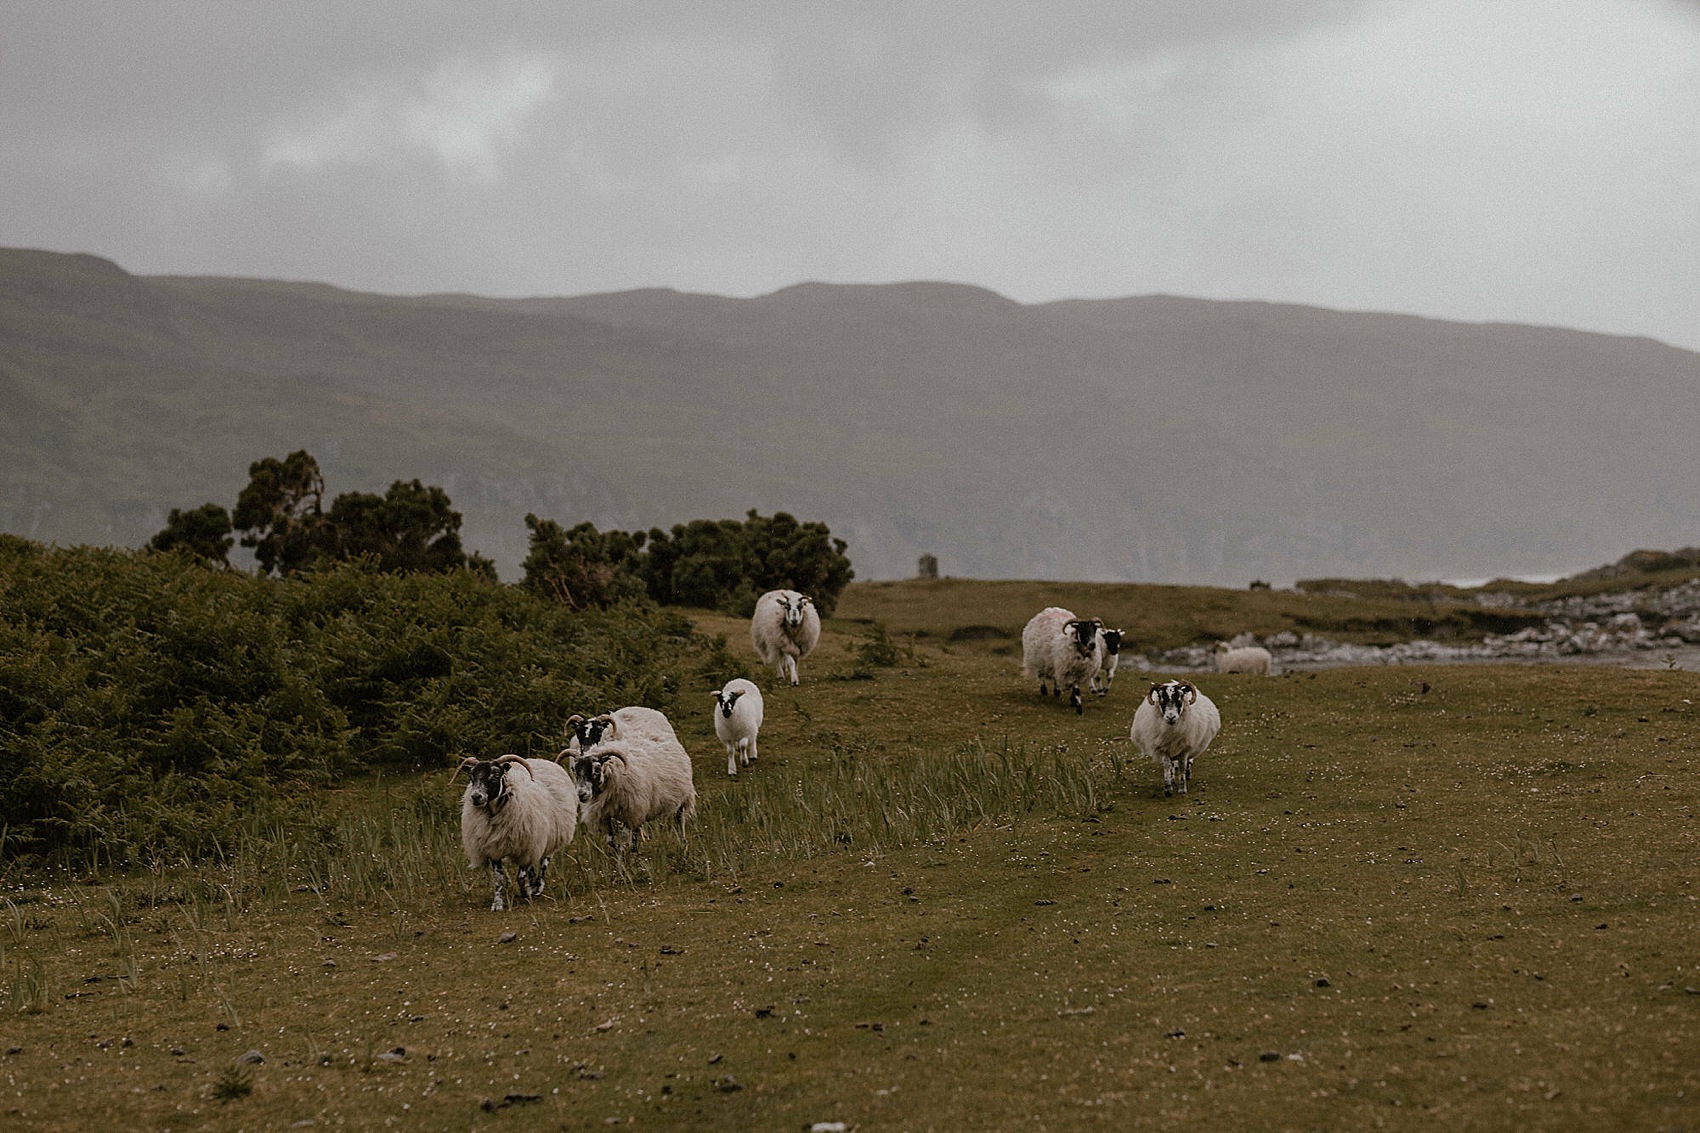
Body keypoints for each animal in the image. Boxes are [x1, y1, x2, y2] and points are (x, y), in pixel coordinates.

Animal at [452, 748, 578, 911]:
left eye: (496, 775)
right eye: (471, 776)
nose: (476, 797)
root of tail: (543, 761)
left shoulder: (527, 845)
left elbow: (521, 876)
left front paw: (527, 892)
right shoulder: (494, 847)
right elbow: (499, 878)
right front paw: (497, 903)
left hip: (552, 835)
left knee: (544, 862)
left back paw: (538, 886)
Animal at [567, 717, 693, 850]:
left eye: (597, 769)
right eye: (574, 769)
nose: (581, 794)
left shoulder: (631, 809)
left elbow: (624, 837)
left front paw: (625, 851)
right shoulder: (606, 812)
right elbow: (611, 840)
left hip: (683, 797)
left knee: (680, 819)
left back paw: (683, 844)